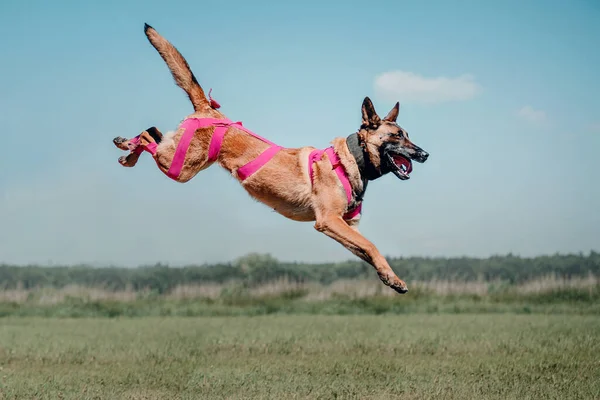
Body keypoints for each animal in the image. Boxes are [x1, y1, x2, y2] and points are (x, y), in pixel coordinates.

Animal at [113, 25, 432, 294]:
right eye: (397, 136)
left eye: (407, 135)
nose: (425, 154)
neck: (351, 159)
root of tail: (210, 109)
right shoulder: (329, 221)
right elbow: (373, 245)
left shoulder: (344, 227)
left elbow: (370, 250)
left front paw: (391, 278)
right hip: (181, 168)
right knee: (148, 136)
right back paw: (127, 148)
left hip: (181, 161)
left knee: (155, 133)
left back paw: (128, 151)